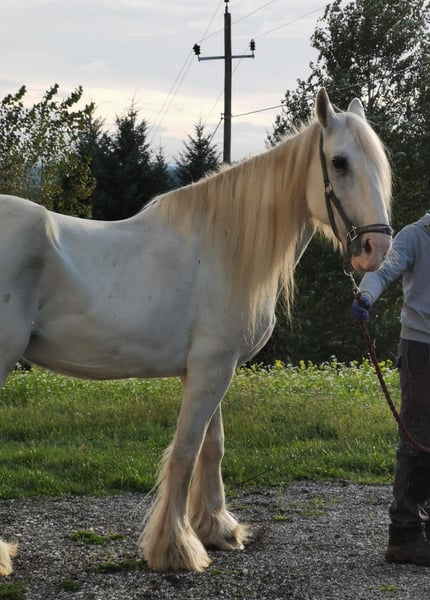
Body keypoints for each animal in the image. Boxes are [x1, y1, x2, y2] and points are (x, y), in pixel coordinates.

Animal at [0, 88, 392, 575]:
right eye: (339, 162)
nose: (377, 247)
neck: (221, 247)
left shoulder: (211, 369)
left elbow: (212, 446)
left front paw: (218, 529)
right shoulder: (211, 370)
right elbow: (186, 452)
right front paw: (176, 548)